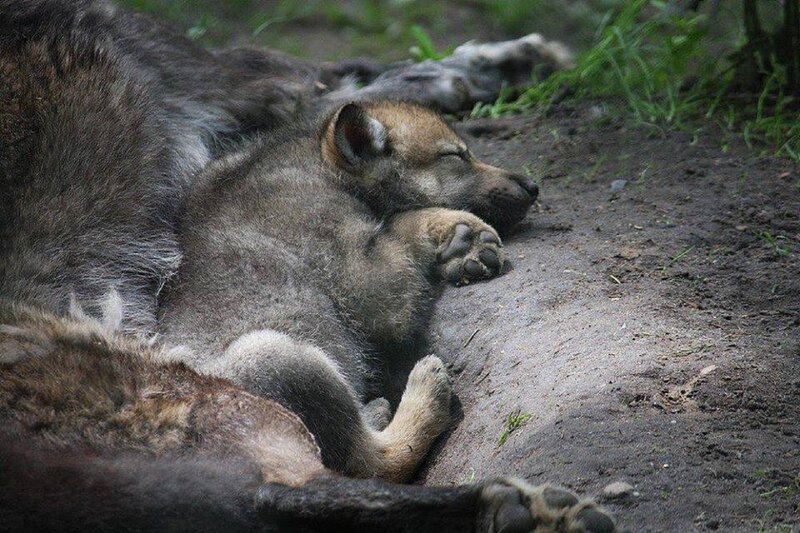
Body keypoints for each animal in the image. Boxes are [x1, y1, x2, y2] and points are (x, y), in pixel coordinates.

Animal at [0, 0, 617, 530]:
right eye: (454, 157)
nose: (532, 186)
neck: (317, 166)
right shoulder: (364, 279)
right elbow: (402, 227)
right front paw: (459, 233)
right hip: (275, 357)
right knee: (368, 463)